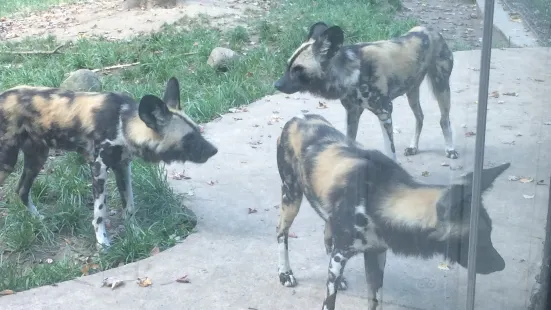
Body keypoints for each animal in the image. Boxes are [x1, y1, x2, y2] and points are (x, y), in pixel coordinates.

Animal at [0, 78, 219, 249]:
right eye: (189, 139)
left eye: (197, 131)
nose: (214, 150)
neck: (124, 124)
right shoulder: (99, 169)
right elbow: (100, 213)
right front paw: (102, 242)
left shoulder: (123, 167)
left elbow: (129, 206)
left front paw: (135, 233)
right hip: (7, 163)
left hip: (37, 158)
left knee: (21, 190)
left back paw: (38, 220)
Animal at [274, 21, 460, 162]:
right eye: (288, 66)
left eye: (298, 70)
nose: (276, 84)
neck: (351, 72)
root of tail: (432, 30)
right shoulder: (352, 113)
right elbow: (349, 141)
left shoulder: (385, 113)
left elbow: (390, 151)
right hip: (412, 91)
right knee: (420, 117)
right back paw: (413, 146)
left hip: (441, 87)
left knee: (444, 120)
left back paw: (450, 149)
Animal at [276, 113, 508, 310]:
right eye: (478, 239)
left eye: (489, 233)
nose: (502, 265)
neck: (378, 198)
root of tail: (298, 117)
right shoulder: (341, 255)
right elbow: (329, 302)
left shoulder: (377, 253)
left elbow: (374, 300)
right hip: (291, 198)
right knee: (281, 233)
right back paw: (285, 273)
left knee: (326, 231)